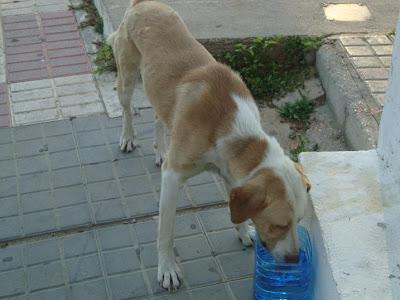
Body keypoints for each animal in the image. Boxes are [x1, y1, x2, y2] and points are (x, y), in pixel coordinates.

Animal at [108, 0, 310, 290]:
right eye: (279, 225)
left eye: (299, 221)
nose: (294, 260)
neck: (230, 122)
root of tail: (143, 3)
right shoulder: (173, 176)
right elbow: (165, 231)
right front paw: (167, 268)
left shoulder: (230, 172)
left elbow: (234, 207)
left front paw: (243, 232)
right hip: (126, 78)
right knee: (126, 109)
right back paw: (127, 137)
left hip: (158, 91)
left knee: (159, 117)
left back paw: (160, 149)